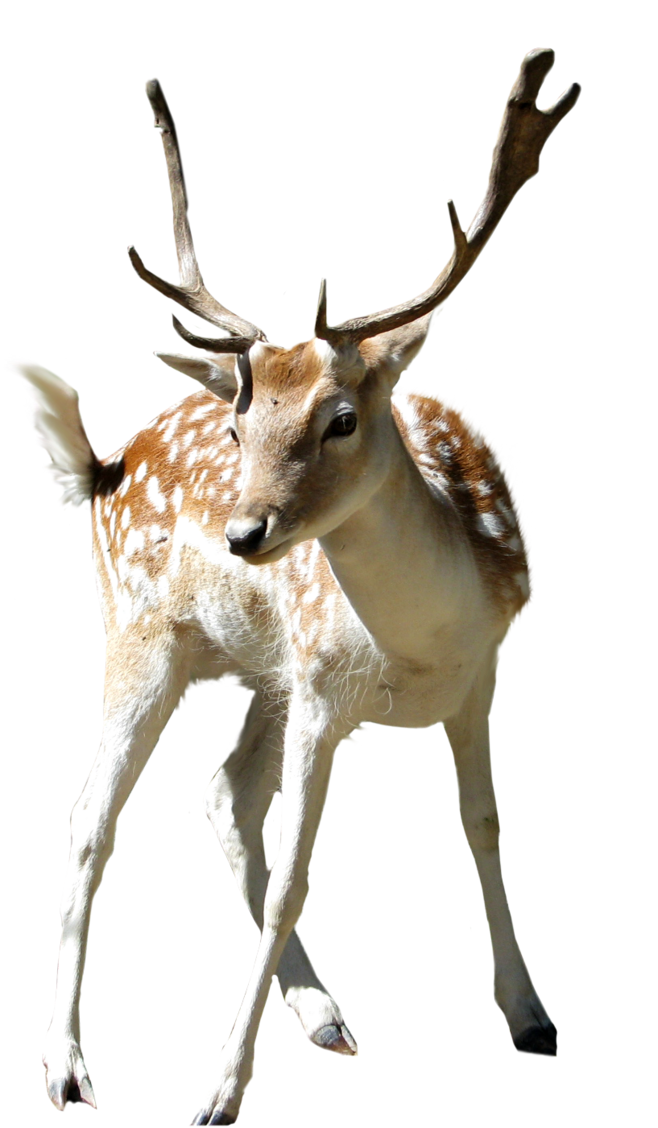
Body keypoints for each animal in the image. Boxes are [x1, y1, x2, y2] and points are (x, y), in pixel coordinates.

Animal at [8, 45, 576, 1125]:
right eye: (240, 425)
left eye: (341, 417)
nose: (244, 532)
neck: (418, 648)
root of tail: (101, 466)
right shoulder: (322, 691)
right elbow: (291, 883)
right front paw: (219, 1093)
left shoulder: (479, 673)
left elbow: (482, 823)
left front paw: (530, 1019)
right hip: (143, 641)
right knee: (92, 820)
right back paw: (65, 1069)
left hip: (265, 673)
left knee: (225, 794)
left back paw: (323, 1015)